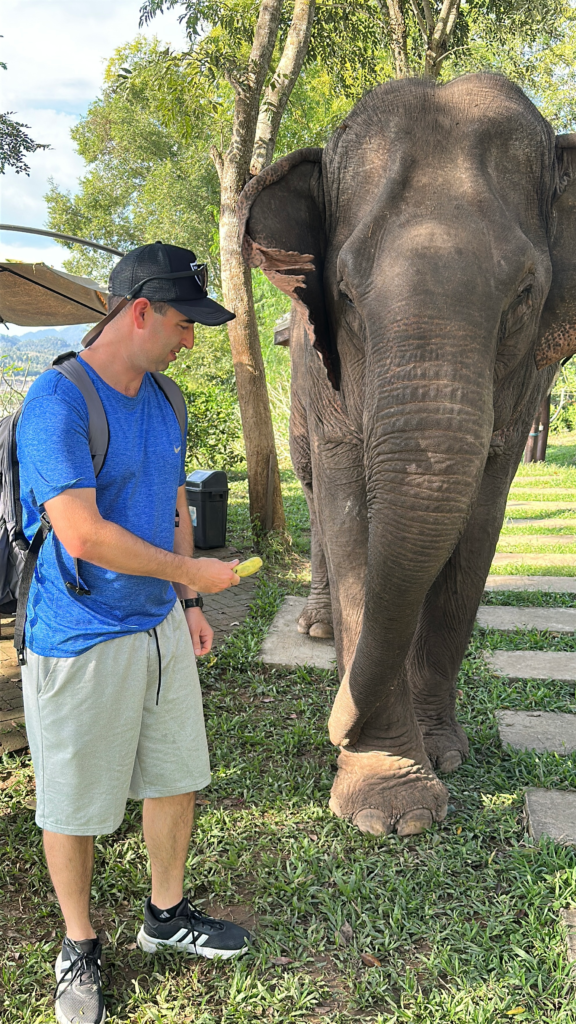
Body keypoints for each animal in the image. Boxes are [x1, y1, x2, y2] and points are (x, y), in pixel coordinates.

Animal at [237, 73, 576, 837]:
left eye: (525, 294)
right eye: (344, 292)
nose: (336, 730)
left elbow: (479, 522)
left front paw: (443, 754)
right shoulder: (329, 381)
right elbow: (349, 509)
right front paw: (391, 809)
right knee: (316, 495)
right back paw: (319, 628)